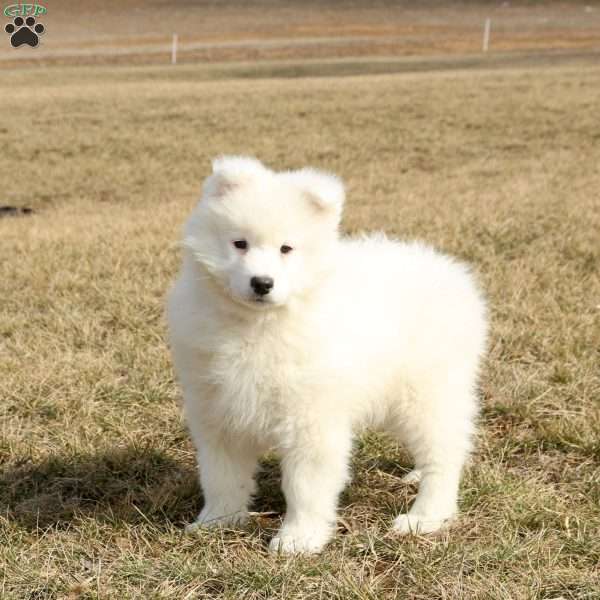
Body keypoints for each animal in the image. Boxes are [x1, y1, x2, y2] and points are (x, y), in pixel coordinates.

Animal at [165, 157, 488, 556]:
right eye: (239, 244)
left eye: (286, 249)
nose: (262, 283)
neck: (259, 325)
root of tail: (452, 274)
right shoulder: (216, 408)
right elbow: (221, 474)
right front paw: (216, 522)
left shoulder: (312, 418)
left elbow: (305, 485)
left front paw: (298, 539)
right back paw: (415, 477)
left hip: (428, 392)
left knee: (445, 452)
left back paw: (425, 516)